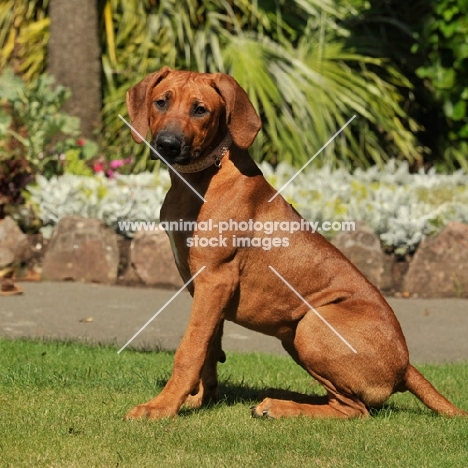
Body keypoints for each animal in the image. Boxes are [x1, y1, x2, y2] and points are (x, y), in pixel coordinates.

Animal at [123, 66, 464, 420]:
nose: (167, 144)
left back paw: (279, 406)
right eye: (161, 102)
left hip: (311, 325)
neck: (201, 178)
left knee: (354, 410)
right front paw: (197, 399)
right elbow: (208, 348)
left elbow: (189, 349)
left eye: (200, 109)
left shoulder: (215, 279)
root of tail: (406, 366)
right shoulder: (206, 289)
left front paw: (161, 407)